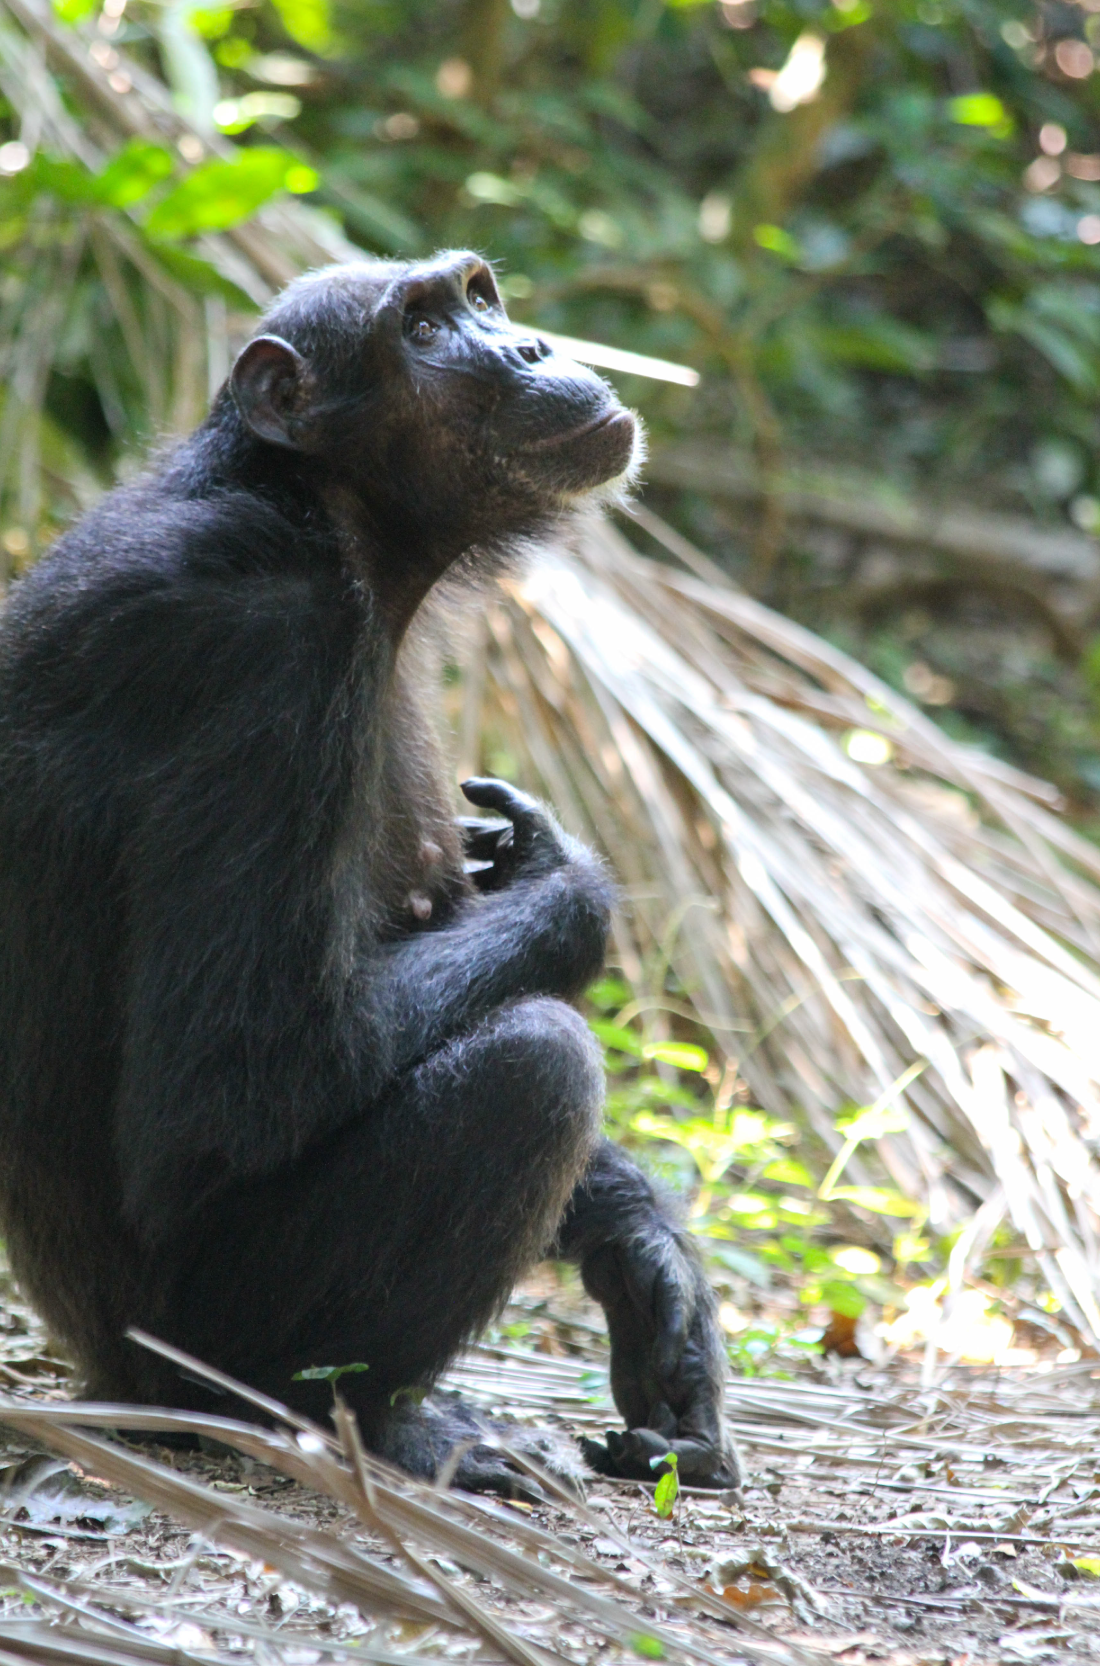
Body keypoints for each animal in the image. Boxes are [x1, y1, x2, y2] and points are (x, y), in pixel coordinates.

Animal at [2, 249, 740, 1499]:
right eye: (424, 329)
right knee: (533, 1066)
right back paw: (378, 1425)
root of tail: (97, 1375)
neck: (325, 519)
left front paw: (649, 1260)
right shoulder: (264, 653)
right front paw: (570, 888)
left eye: (479, 296)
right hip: (198, 1344)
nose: (526, 346)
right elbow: (240, 1078)